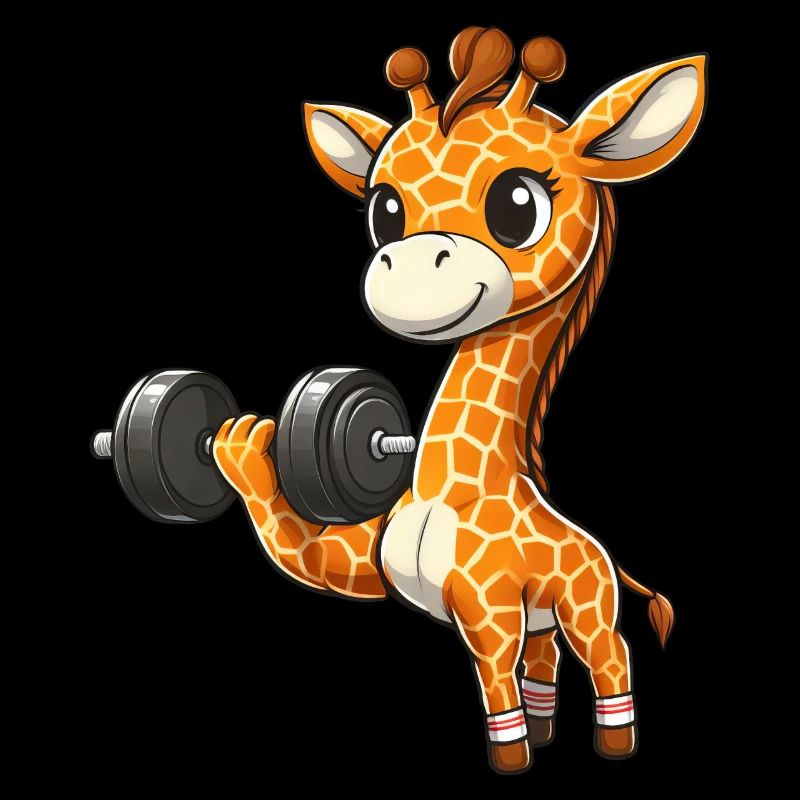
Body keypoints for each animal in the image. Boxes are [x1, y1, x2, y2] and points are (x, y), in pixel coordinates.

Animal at [213, 28, 706, 773]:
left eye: (518, 204)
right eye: (385, 210)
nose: (408, 270)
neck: (456, 489)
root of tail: (601, 551)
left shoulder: (489, 614)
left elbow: (495, 691)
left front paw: (510, 762)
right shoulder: (378, 569)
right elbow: (313, 561)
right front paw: (241, 447)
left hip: (587, 605)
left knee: (611, 656)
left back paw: (616, 743)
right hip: (545, 619)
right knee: (545, 665)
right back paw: (551, 728)